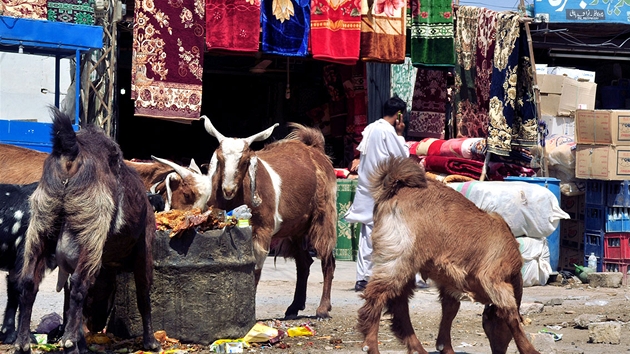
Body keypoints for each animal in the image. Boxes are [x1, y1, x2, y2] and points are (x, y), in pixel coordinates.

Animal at [14, 108, 159, 354]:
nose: (96, 324)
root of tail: (71, 148)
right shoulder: (144, 249)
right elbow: (143, 297)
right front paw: (151, 342)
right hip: (91, 231)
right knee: (79, 284)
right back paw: (69, 343)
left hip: (41, 225)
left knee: (28, 283)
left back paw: (23, 343)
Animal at [204, 118, 340, 318]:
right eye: (220, 159)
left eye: (245, 161)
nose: (228, 190)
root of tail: (315, 150)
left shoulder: (263, 229)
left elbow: (256, 269)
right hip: (296, 227)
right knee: (304, 263)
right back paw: (294, 307)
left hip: (323, 217)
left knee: (328, 261)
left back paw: (323, 309)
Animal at [360, 156, 544, 354]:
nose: (498, 350)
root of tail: (396, 188)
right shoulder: (494, 278)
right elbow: (510, 313)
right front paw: (529, 350)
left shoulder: (451, 281)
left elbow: (451, 309)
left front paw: (445, 347)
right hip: (398, 256)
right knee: (377, 296)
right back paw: (371, 345)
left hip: (406, 262)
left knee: (399, 303)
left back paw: (417, 348)